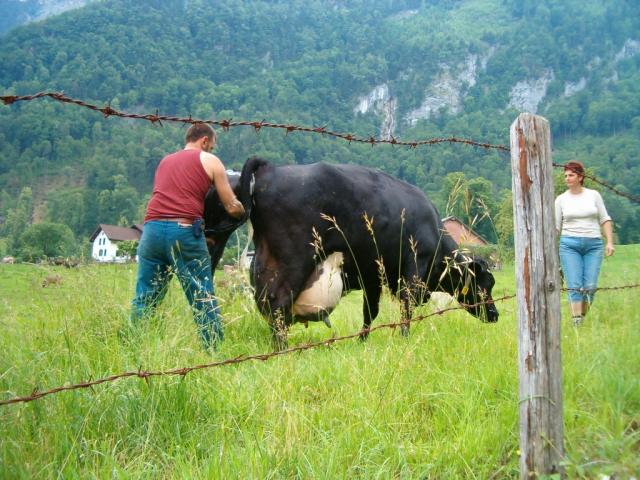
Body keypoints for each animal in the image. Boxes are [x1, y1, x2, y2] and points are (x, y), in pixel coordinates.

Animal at [206, 159, 500, 346]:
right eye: (485, 283)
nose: (495, 314)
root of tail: (271, 169)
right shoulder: (413, 272)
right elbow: (405, 310)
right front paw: (404, 339)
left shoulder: (372, 276)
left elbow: (371, 312)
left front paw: (362, 340)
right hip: (294, 259)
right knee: (277, 302)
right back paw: (281, 348)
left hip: (265, 258)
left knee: (266, 303)